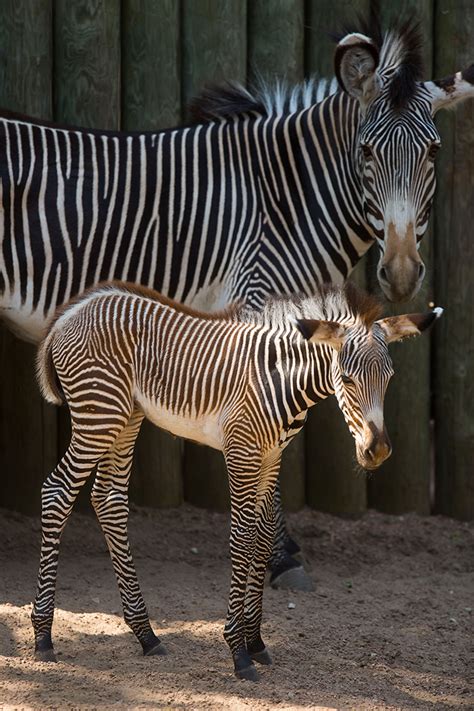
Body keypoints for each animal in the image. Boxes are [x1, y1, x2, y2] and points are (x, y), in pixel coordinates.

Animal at [0, 13, 474, 588]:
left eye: (433, 151)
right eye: (365, 151)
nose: (402, 274)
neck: (287, 203)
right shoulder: (257, 305)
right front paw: (281, 554)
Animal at [32, 280, 440, 680]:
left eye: (390, 379)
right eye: (347, 379)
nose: (377, 451)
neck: (281, 379)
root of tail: (73, 310)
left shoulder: (272, 457)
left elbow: (263, 540)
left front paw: (256, 640)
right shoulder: (242, 452)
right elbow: (242, 539)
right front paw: (238, 652)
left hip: (126, 416)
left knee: (109, 500)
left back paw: (147, 635)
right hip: (99, 415)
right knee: (57, 491)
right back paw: (43, 638)